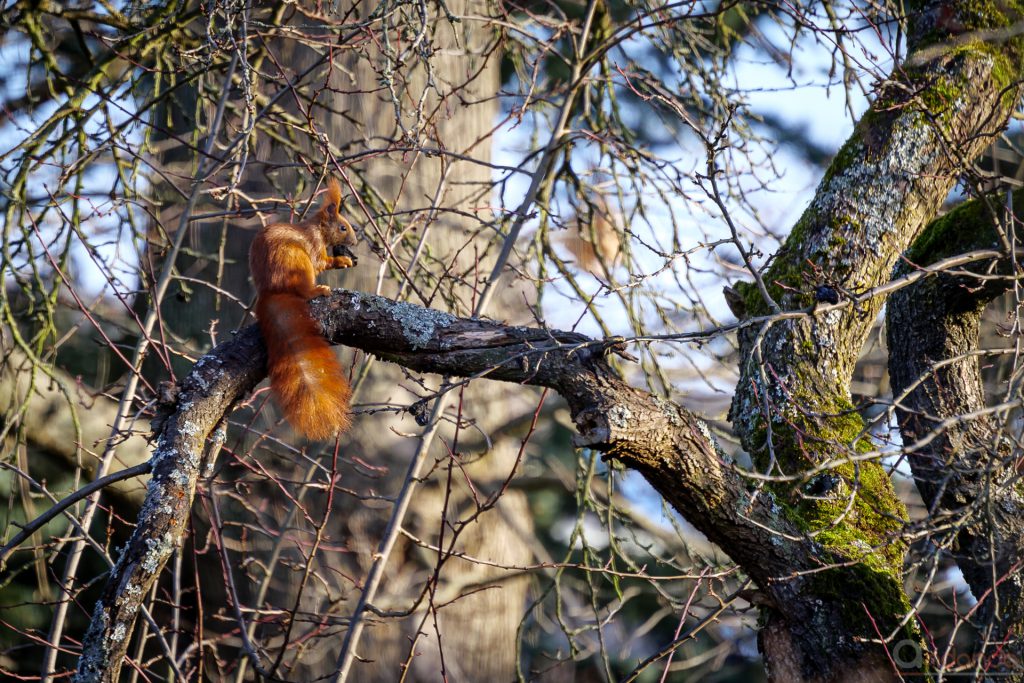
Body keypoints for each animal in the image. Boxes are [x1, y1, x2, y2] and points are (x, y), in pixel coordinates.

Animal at [248, 179, 358, 440]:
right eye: (343, 227)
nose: (355, 242)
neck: (315, 229)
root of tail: (271, 291)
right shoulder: (314, 246)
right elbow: (321, 262)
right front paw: (341, 260)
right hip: (298, 263)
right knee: (305, 289)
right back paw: (318, 290)